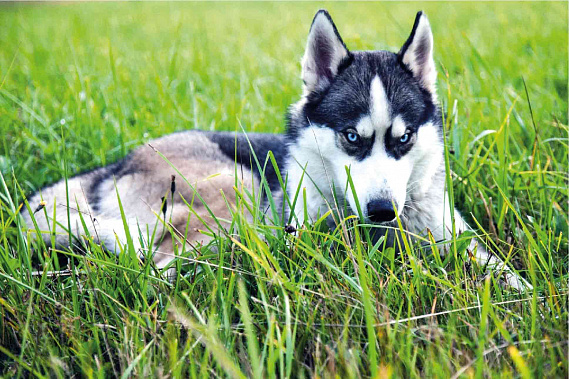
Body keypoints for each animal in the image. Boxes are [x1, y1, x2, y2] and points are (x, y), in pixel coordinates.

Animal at [22, 10, 528, 290]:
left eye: (403, 138)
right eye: (351, 136)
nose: (384, 211)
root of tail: (116, 165)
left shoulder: (451, 233)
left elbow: (503, 272)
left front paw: (526, 294)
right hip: (235, 191)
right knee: (160, 267)